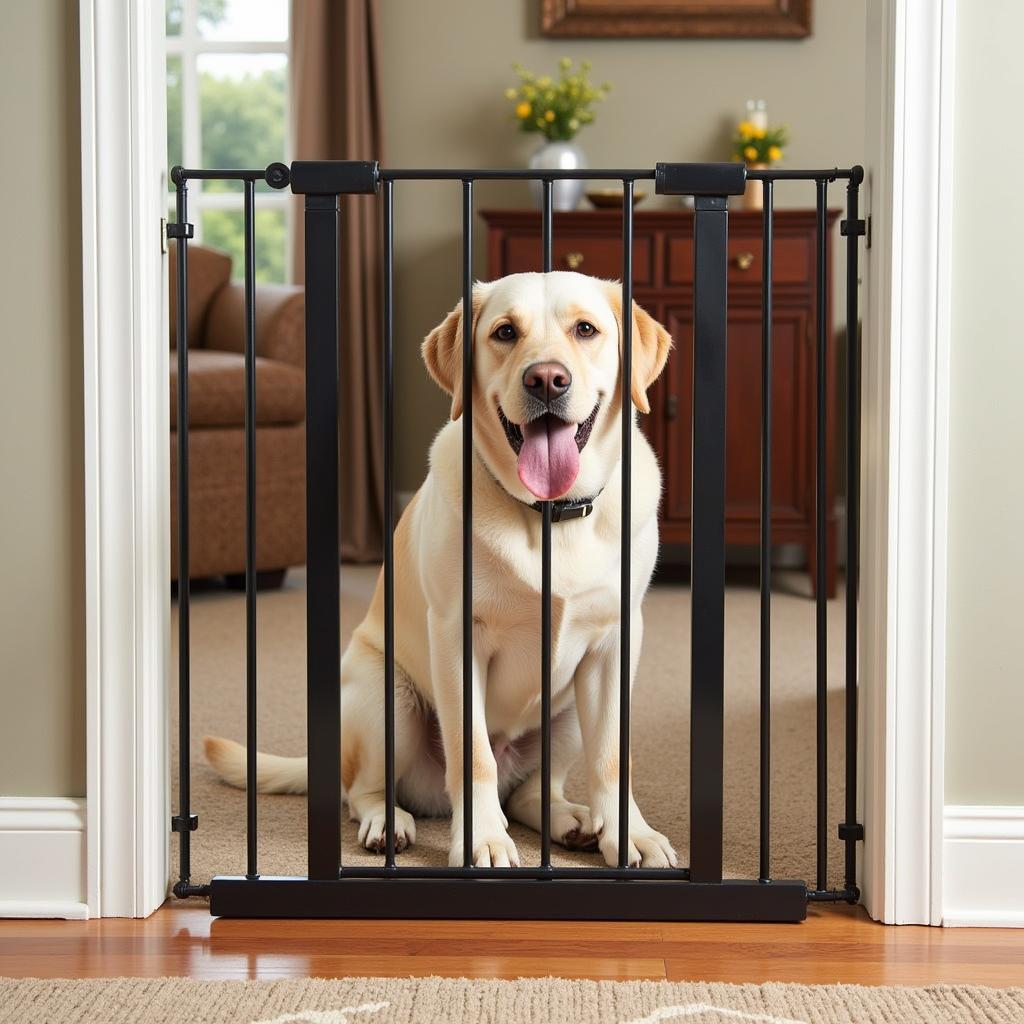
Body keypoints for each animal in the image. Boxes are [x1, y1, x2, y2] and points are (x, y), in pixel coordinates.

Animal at [204, 270, 675, 864]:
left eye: (585, 329)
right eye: (504, 331)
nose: (547, 380)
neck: (547, 516)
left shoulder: (615, 640)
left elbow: (612, 756)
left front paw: (630, 835)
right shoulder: (457, 636)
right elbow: (472, 754)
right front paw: (484, 841)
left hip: (565, 714)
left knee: (532, 790)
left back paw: (569, 819)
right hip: (388, 697)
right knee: (364, 790)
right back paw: (387, 822)